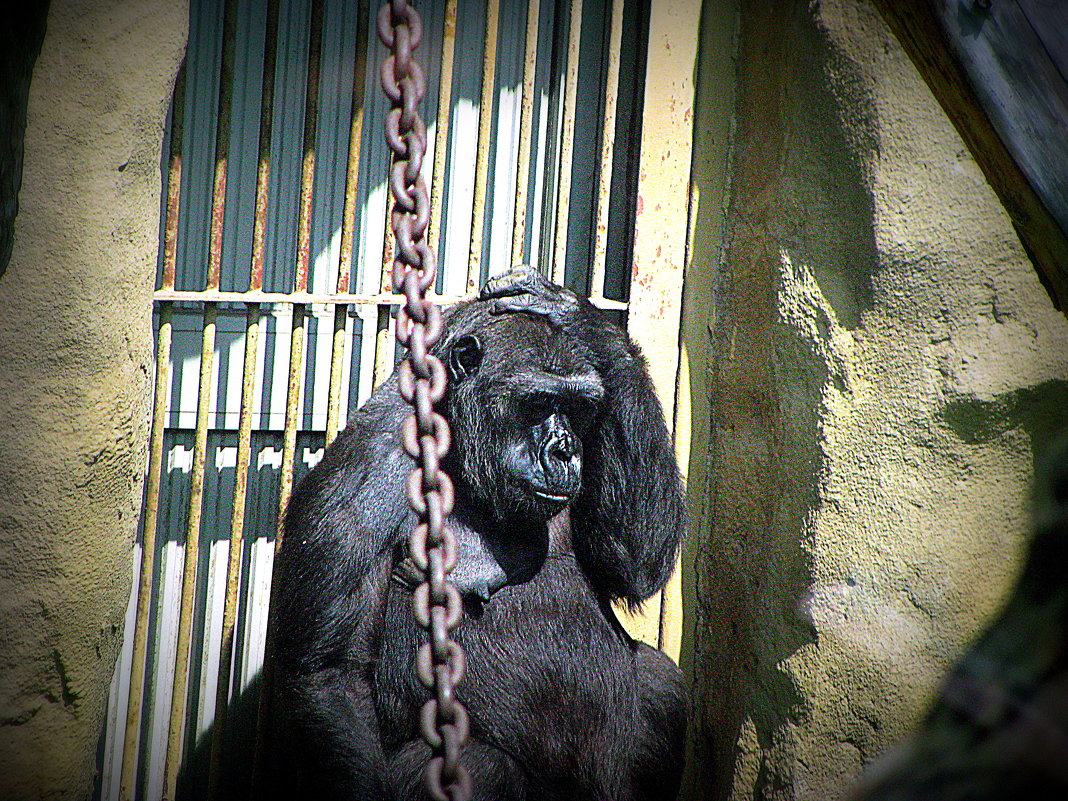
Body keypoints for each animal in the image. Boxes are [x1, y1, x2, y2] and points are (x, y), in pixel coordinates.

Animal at [262, 271, 687, 801]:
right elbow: (328, 672)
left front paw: (586, 322)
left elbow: (633, 560)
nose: (565, 450)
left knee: (658, 685)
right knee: (482, 765)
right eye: (540, 403)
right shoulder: (365, 470)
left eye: (578, 408)